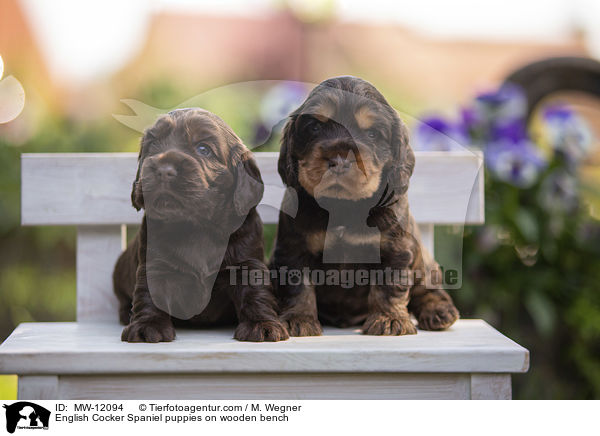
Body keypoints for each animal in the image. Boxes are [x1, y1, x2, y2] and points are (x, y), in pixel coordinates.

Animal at [114, 107, 288, 342]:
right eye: (153, 144)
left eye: (203, 149)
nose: (163, 170)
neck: (196, 225)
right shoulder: (153, 265)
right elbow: (148, 294)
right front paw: (146, 325)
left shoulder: (247, 262)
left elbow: (255, 292)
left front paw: (262, 324)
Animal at [270, 77, 460, 338]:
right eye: (315, 127)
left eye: (371, 133)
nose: (339, 160)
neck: (343, 206)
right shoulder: (294, 249)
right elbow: (299, 286)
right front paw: (299, 319)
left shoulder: (394, 250)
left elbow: (388, 287)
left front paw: (389, 320)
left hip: (424, 261)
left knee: (427, 287)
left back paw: (438, 311)